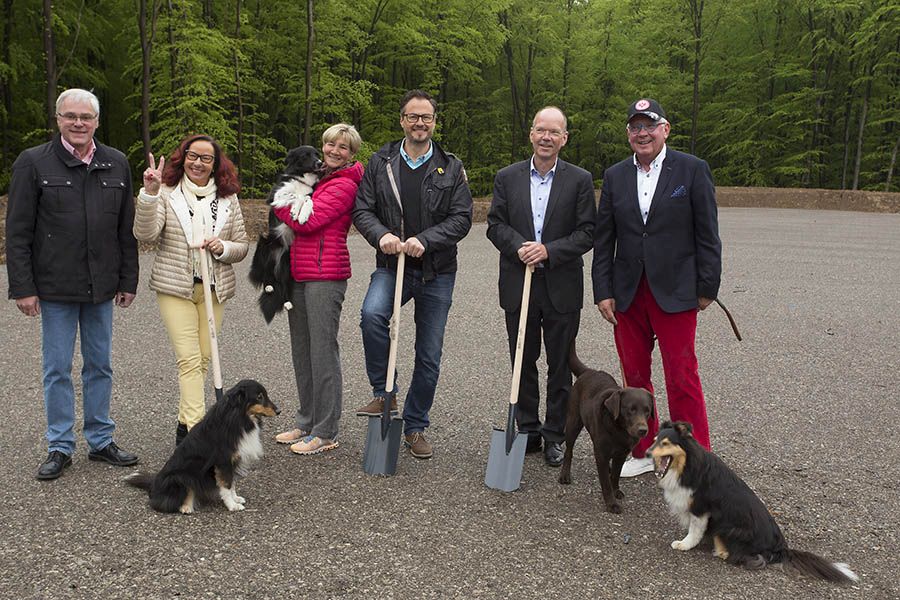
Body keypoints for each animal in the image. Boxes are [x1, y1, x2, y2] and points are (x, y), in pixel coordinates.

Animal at [123, 380, 278, 516]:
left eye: (265, 394)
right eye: (259, 397)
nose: (279, 411)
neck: (238, 417)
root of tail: (154, 484)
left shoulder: (233, 462)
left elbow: (232, 483)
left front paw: (236, 498)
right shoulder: (223, 462)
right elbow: (226, 485)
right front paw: (232, 505)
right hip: (181, 476)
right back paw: (186, 507)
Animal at [248, 146, 322, 324]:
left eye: (317, 154)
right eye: (305, 155)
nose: (320, 162)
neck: (302, 179)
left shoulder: (310, 193)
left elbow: (307, 199)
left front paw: (302, 214)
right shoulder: (275, 195)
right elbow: (296, 196)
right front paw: (296, 211)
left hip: (287, 265)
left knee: (282, 284)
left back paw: (287, 302)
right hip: (263, 246)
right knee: (264, 275)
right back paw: (268, 286)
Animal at [560, 344, 652, 512]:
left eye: (647, 410)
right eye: (631, 409)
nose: (643, 430)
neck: (619, 430)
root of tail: (589, 371)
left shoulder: (621, 454)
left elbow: (615, 475)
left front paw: (616, 491)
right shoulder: (601, 455)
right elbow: (605, 482)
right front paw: (611, 504)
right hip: (573, 423)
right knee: (568, 451)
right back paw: (564, 475)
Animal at [652, 420, 856, 584]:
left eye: (665, 443)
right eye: (654, 440)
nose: (647, 452)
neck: (685, 466)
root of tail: (781, 548)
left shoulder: (701, 508)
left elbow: (695, 531)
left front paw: (684, 544)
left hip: (728, 527)